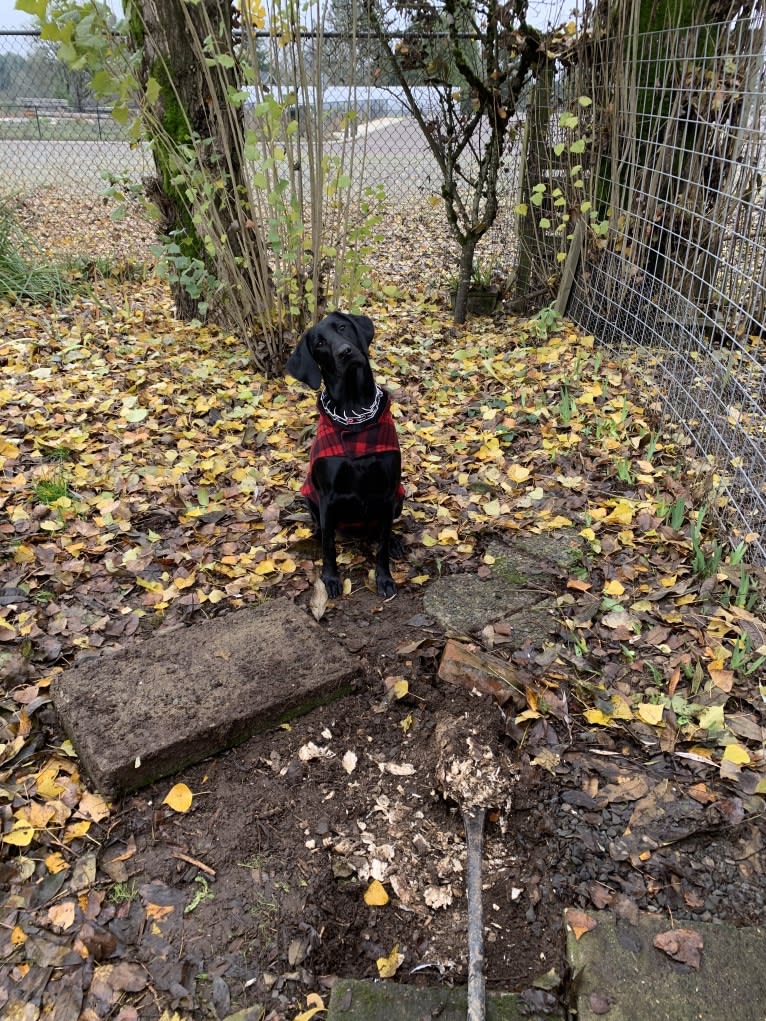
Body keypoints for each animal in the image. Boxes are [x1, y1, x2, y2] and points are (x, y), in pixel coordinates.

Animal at [285, 310, 404, 596]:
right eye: (319, 343)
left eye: (342, 327)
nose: (345, 352)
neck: (354, 414)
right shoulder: (328, 496)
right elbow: (329, 546)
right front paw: (330, 579)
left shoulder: (388, 491)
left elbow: (382, 545)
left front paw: (384, 578)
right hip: (310, 496)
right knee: (322, 530)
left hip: (399, 498)